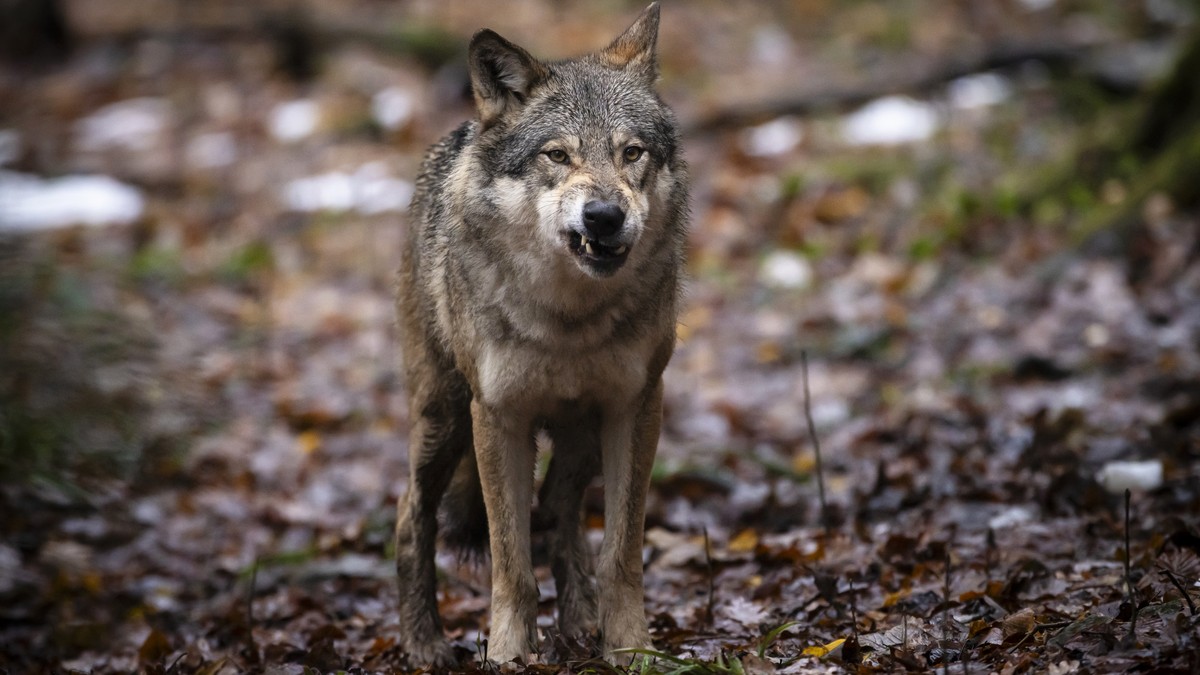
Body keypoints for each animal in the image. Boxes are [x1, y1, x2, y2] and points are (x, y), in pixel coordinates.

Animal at [392, 2, 688, 666]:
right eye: (557, 156)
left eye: (632, 153)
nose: (604, 216)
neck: (568, 319)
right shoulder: (498, 416)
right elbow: (511, 564)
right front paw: (508, 654)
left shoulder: (636, 406)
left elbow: (620, 554)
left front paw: (630, 649)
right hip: (443, 418)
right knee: (410, 515)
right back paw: (423, 645)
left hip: (580, 434)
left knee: (558, 511)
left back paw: (578, 623)